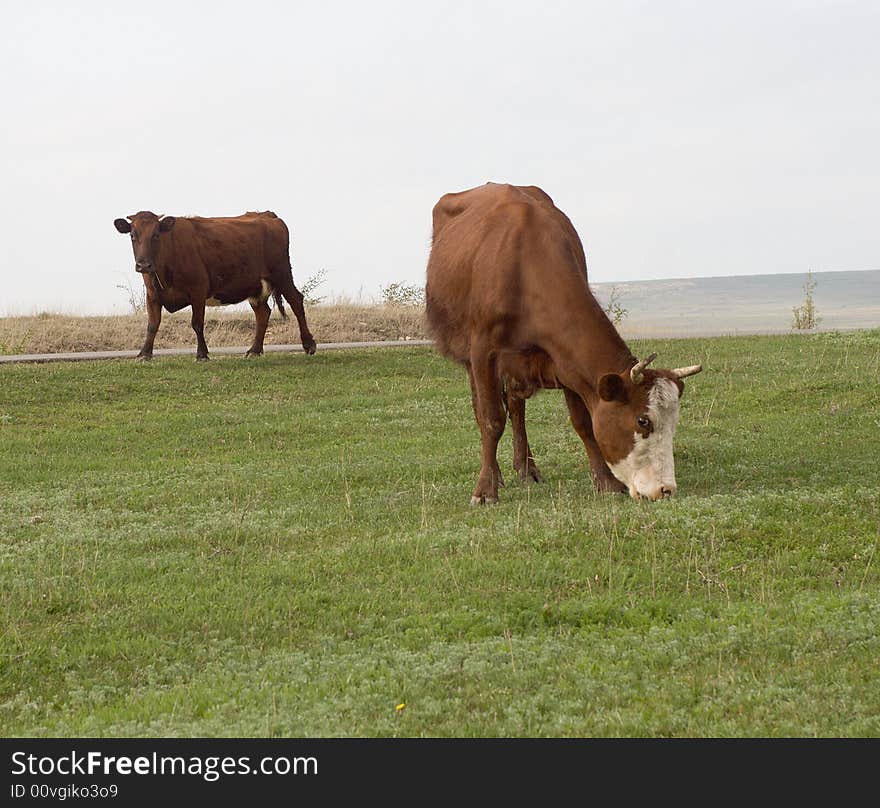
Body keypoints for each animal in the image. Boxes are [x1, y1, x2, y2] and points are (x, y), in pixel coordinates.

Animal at [115, 211, 316, 360]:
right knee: (263, 313)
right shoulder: (152, 295)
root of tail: (266, 215)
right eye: (132, 235)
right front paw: (144, 353)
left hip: (282, 274)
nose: (144, 265)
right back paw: (254, 350)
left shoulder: (198, 290)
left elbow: (197, 323)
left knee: (296, 301)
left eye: (156, 235)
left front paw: (202, 354)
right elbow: (152, 324)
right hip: (255, 285)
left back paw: (309, 344)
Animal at [422, 183, 704, 502]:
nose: (665, 489)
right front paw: (485, 489)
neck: (524, 265)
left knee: (517, 409)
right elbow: (491, 418)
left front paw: (605, 481)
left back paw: (527, 469)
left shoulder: (564, 360)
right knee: (484, 409)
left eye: (674, 422)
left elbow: (583, 422)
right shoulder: (483, 350)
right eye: (643, 421)